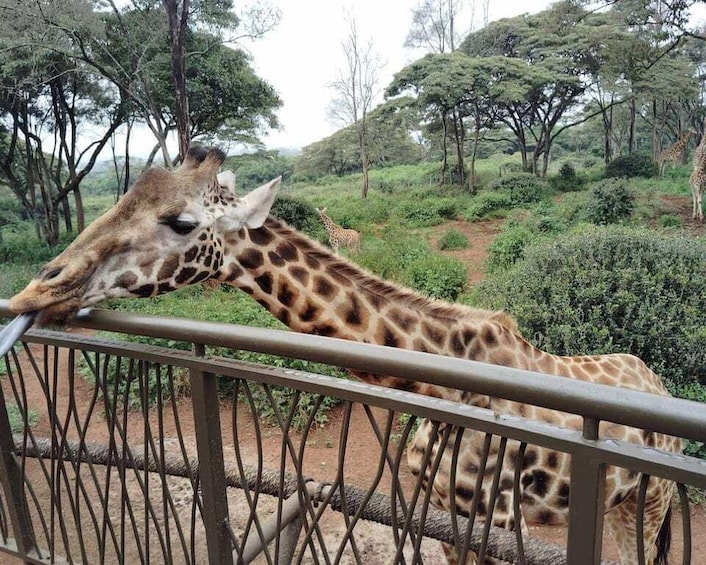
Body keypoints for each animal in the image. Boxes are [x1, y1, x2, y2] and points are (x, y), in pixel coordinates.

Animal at [9, 147, 681, 565]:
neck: (439, 381)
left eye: (181, 221)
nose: (36, 289)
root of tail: (661, 386)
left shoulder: (492, 519)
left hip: (648, 505)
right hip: (621, 505)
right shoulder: (445, 515)